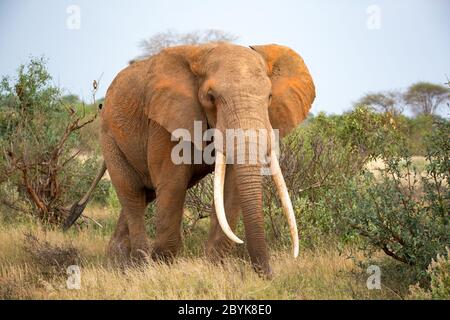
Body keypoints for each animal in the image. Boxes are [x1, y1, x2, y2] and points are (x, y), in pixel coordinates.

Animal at [65, 42, 314, 278]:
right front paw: (162, 266)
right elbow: (173, 184)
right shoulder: (165, 121)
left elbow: (231, 186)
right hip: (110, 138)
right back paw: (140, 266)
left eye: (269, 97)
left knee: (145, 194)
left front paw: (215, 267)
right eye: (211, 97)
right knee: (132, 193)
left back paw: (117, 263)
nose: (268, 274)